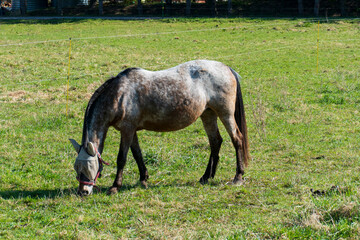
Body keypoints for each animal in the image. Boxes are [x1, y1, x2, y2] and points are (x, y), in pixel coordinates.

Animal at [69, 59, 249, 195]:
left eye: (89, 166)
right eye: (76, 167)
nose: (83, 191)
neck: (119, 95)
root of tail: (226, 68)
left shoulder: (127, 130)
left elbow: (122, 158)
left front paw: (115, 187)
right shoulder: (131, 131)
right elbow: (137, 154)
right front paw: (143, 179)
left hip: (225, 114)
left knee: (237, 139)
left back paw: (238, 177)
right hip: (208, 114)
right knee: (215, 142)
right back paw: (206, 177)